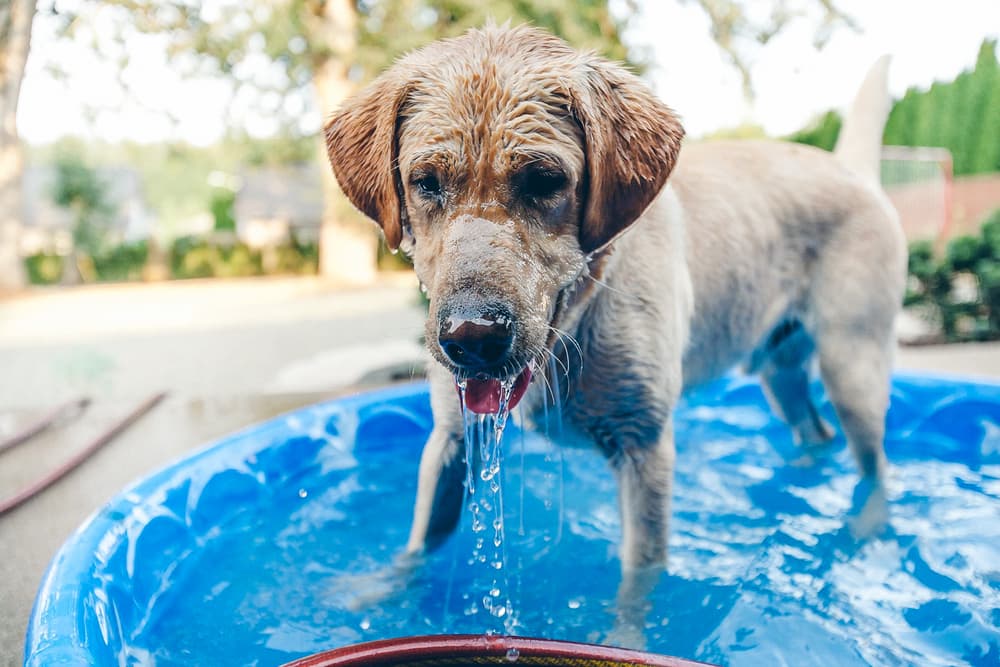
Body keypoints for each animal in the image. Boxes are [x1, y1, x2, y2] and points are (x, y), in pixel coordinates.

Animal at [322, 24, 908, 596]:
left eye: (544, 181)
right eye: (426, 183)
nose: (472, 337)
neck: (573, 326)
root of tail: (853, 171)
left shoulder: (643, 450)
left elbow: (636, 586)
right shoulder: (451, 439)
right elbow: (417, 544)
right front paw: (375, 592)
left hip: (851, 367)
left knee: (876, 467)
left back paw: (865, 530)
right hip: (779, 373)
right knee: (816, 432)